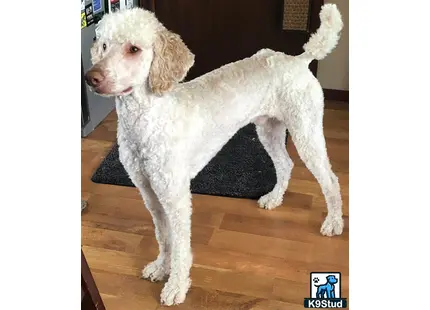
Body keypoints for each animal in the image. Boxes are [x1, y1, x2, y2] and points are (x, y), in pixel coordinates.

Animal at [85, 4, 344, 306]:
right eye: (103, 45)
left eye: (134, 49)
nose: (91, 77)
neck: (147, 118)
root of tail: (298, 60)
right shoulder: (149, 192)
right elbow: (163, 236)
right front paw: (161, 267)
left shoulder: (175, 196)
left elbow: (180, 245)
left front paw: (176, 285)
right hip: (269, 128)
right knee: (285, 163)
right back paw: (274, 198)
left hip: (306, 131)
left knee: (330, 179)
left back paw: (334, 222)